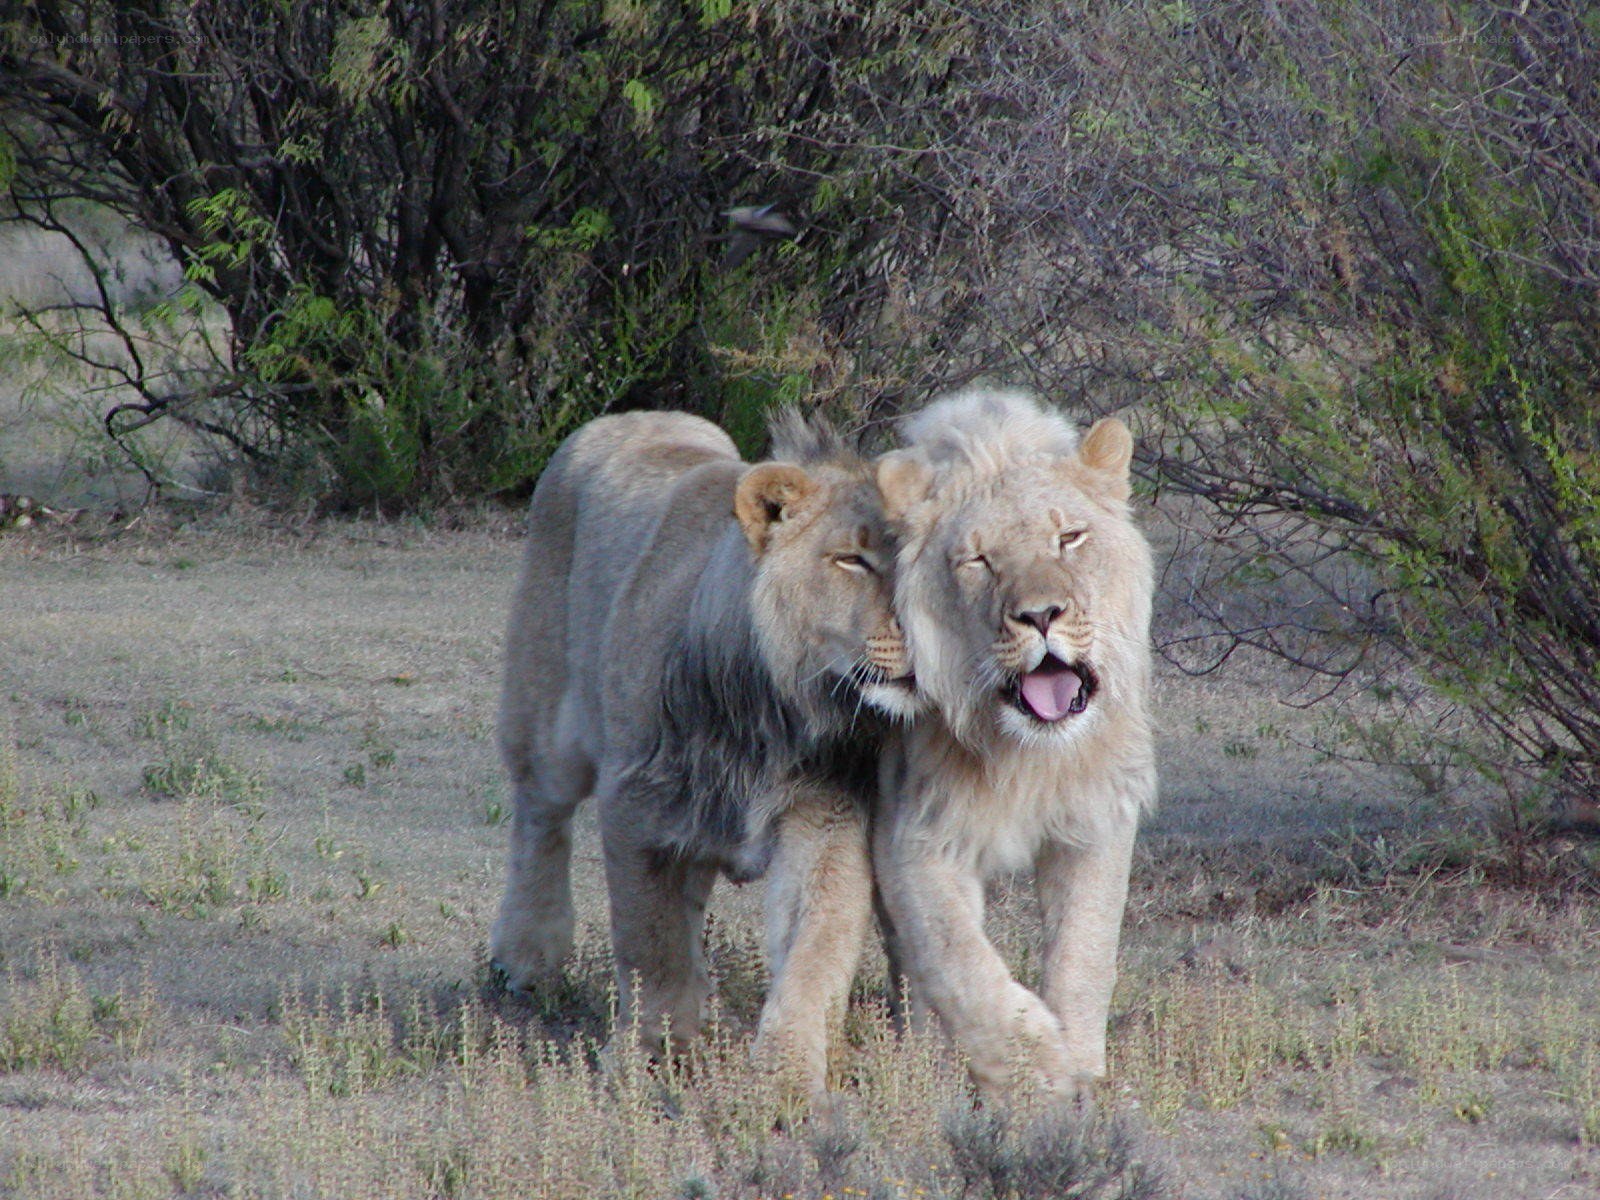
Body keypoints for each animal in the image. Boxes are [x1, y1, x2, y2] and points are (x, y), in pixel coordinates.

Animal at [491, 408, 919, 1097]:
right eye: (852, 560)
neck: (774, 711)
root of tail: (629, 415)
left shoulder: (824, 813)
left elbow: (817, 945)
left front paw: (786, 1080)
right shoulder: (637, 807)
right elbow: (651, 946)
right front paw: (648, 1059)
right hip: (545, 722)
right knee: (539, 818)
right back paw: (526, 959)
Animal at [872, 387, 1157, 1099]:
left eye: (1069, 537)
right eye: (978, 560)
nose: (1041, 615)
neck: (1031, 756)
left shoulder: (1097, 818)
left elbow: (1085, 951)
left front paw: (1081, 1069)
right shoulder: (914, 831)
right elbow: (958, 960)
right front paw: (1037, 1074)